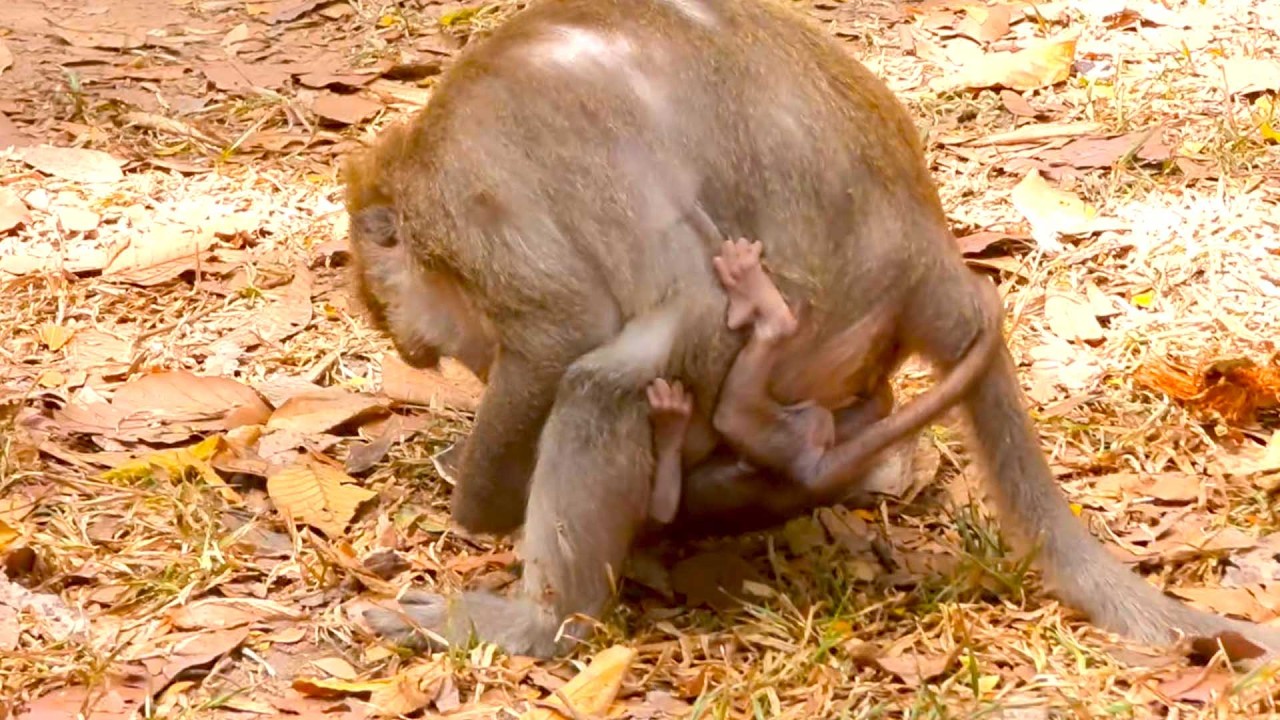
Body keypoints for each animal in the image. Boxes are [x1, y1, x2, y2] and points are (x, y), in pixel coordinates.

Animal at [346, 0, 1280, 661]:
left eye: (437, 349)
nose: (468, 368)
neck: (422, 151)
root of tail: (934, 259)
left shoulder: (473, 200)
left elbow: (563, 332)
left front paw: (480, 506)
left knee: (611, 374)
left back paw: (544, 624)